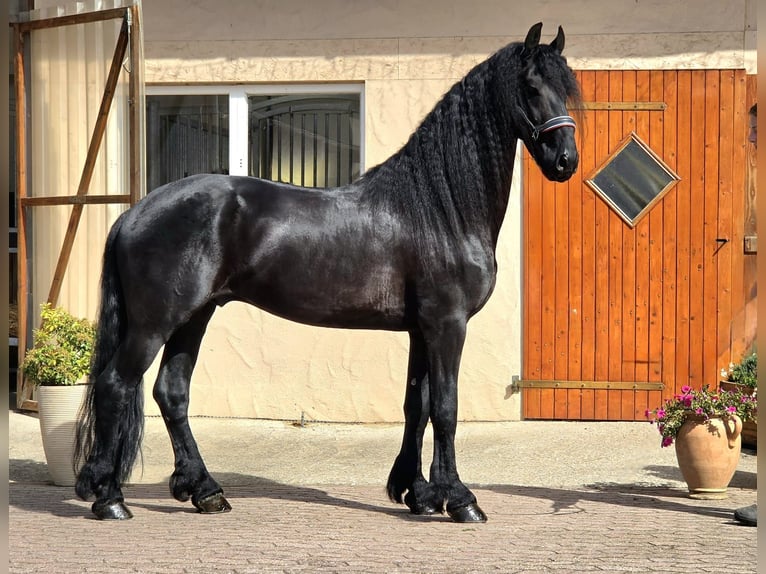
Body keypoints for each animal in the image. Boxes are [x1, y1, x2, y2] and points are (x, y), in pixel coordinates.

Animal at [74, 22, 580, 522]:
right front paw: (459, 498)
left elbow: (416, 405)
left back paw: (204, 491)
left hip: (194, 316)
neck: (439, 209)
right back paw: (110, 498)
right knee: (116, 385)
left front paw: (416, 492)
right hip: (154, 323)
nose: (566, 161)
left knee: (171, 391)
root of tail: (133, 213)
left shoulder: (422, 329)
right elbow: (446, 407)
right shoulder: (447, 324)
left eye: (567, 89)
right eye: (531, 87)